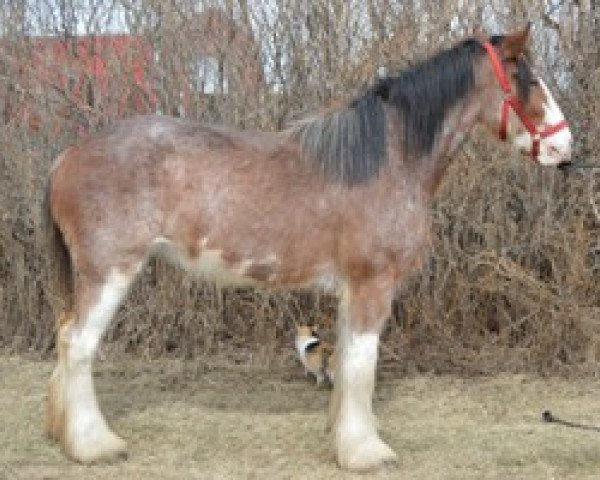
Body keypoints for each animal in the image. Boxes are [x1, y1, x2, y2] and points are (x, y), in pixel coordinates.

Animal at [43, 26, 572, 468]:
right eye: (527, 78)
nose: (566, 149)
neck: (388, 158)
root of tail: (67, 155)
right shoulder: (372, 286)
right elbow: (362, 365)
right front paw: (366, 452)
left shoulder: (350, 291)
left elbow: (346, 363)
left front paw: (343, 436)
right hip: (109, 271)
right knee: (79, 344)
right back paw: (95, 445)